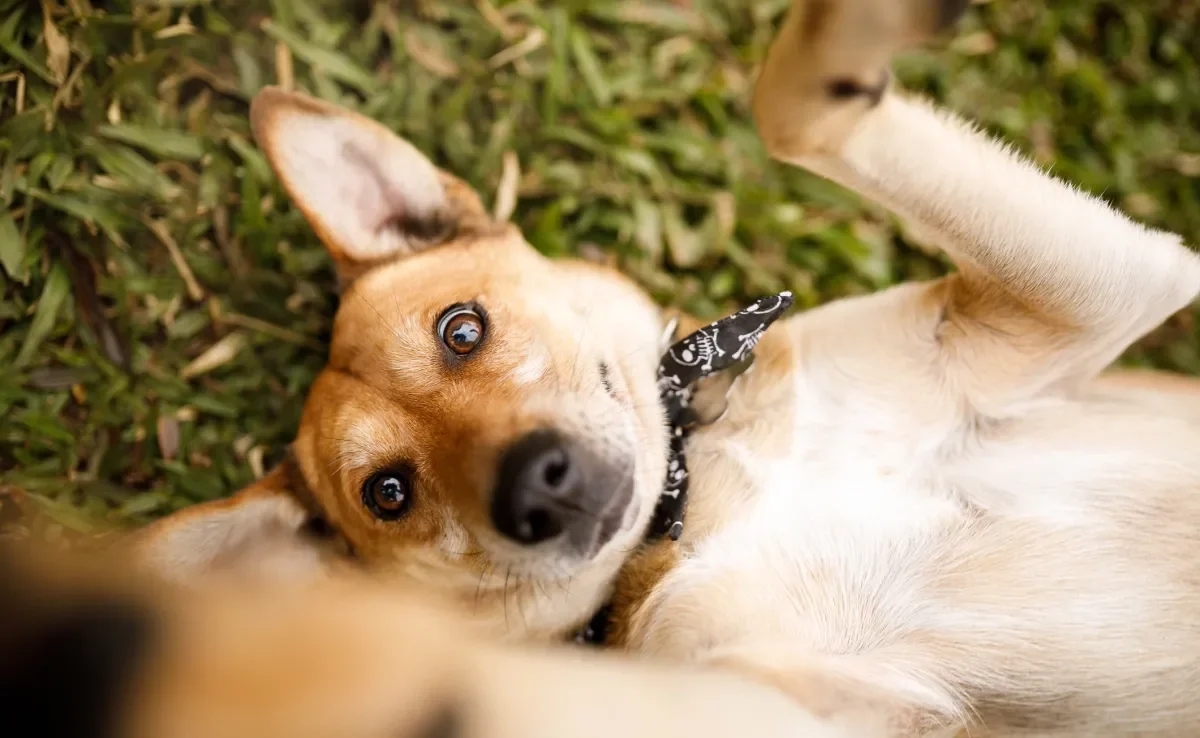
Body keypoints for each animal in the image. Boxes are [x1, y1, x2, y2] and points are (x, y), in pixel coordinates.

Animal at [131, 2, 1200, 734]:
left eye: (460, 330)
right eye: (387, 493)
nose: (536, 488)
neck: (699, 490)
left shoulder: (1099, 290)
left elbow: (786, 111)